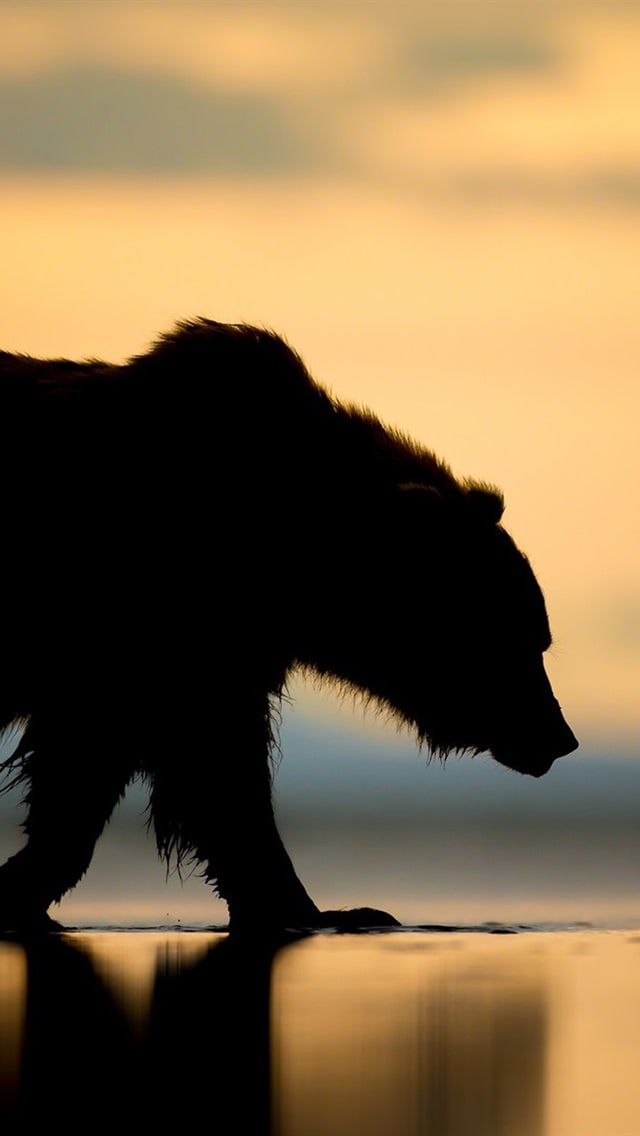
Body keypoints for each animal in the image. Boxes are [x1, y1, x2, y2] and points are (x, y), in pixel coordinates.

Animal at [0, 319, 578, 933]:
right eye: (519, 639)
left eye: (540, 640)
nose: (559, 737)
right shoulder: (162, 619)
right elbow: (210, 767)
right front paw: (328, 909)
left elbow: (101, 770)